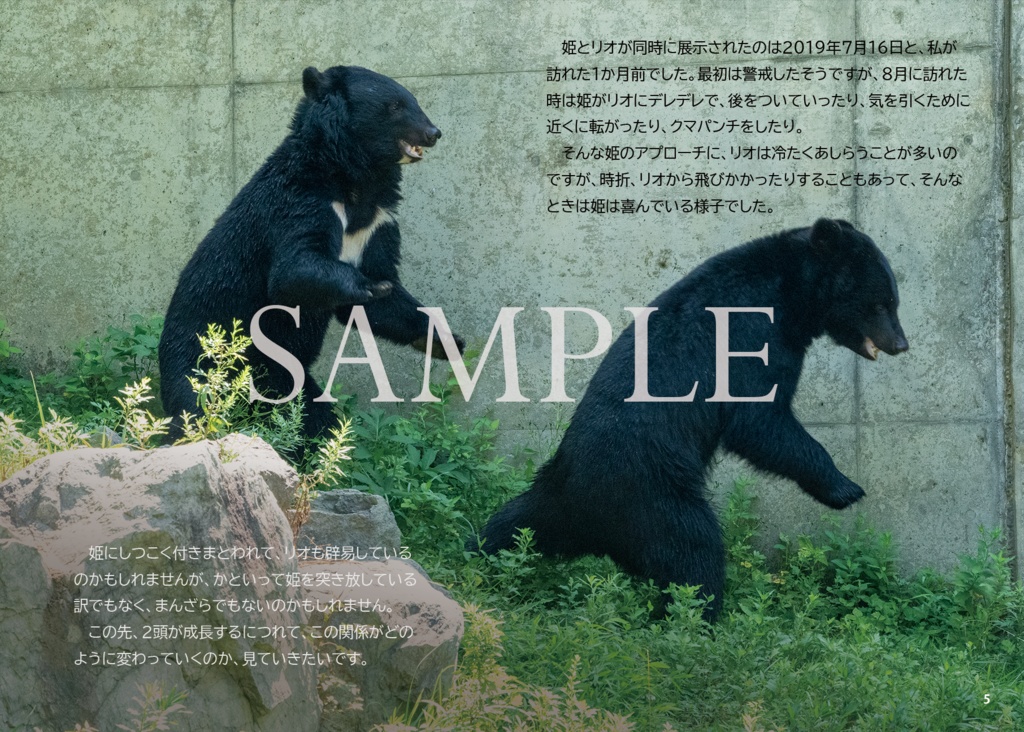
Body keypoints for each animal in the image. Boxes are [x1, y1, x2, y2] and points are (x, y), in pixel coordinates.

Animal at [159, 65, 462, 442]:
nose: (434, 132)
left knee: (315, 422)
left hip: (288, 378)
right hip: (200, 361)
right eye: (394, 105)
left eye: (413, 101)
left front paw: (446, 340)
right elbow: (293, 269)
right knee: (193, 407)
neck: (356, 180)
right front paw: (369, 286)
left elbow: (378, 292)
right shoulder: (300, 202)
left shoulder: (379, 222)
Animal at [473, 218, 908, 621]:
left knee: (510, 526)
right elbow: (758, 419)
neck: (791, 294)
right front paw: (846, 487)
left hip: (550, 499)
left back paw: (477, 557)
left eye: (893, 300)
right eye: (881, 302)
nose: (901, 344)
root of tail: (591, 520)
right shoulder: (752, 335)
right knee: (695, 552)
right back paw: (700, 620)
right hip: (656, 495)